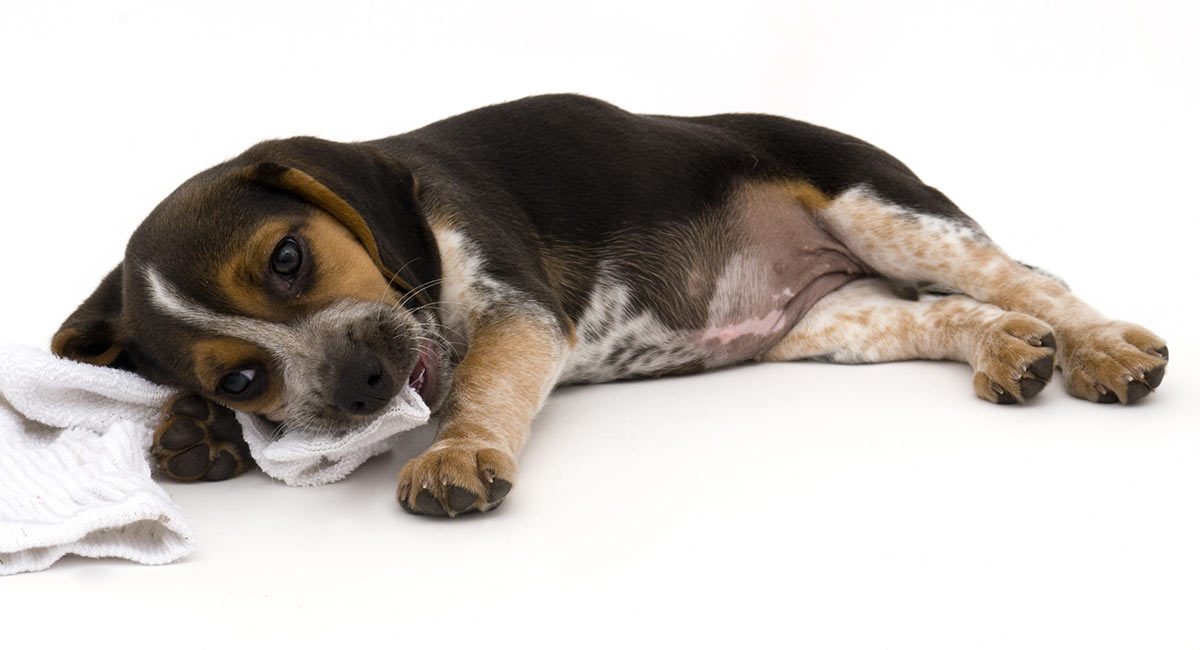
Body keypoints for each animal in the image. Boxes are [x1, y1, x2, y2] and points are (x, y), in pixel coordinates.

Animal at [56, 92, 1171, 520]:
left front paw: (454, 452)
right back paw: (1010, 352)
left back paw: (1103, 351)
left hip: (885, 211)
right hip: (834, 323)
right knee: (949, 314)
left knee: (1032, 280)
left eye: (288, 258)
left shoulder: (516, 315)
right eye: (243, 376)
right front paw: (197, 433)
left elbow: (478, 391)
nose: (365, 379)